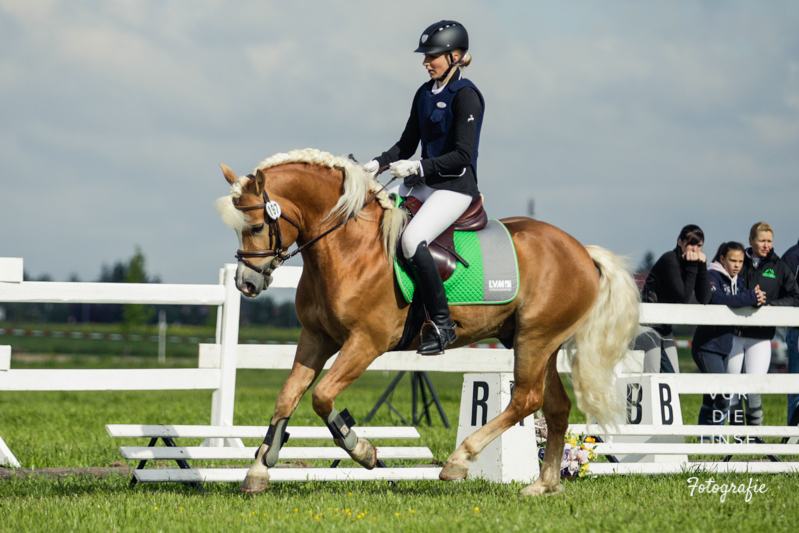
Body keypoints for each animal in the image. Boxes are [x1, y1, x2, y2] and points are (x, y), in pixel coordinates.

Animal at [216, 148, 640, 496]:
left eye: (256, 226)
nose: (246, 284)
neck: (348, 246)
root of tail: (581, 250)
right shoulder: (316, 338)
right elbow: (287, 396)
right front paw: (258, 470)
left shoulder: (366, 342)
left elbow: (321, 397)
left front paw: (364, 451)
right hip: (540, 342)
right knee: (555, 406)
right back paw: (543, 485)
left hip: (534, 339)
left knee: (526, 398)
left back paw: (459, 461)